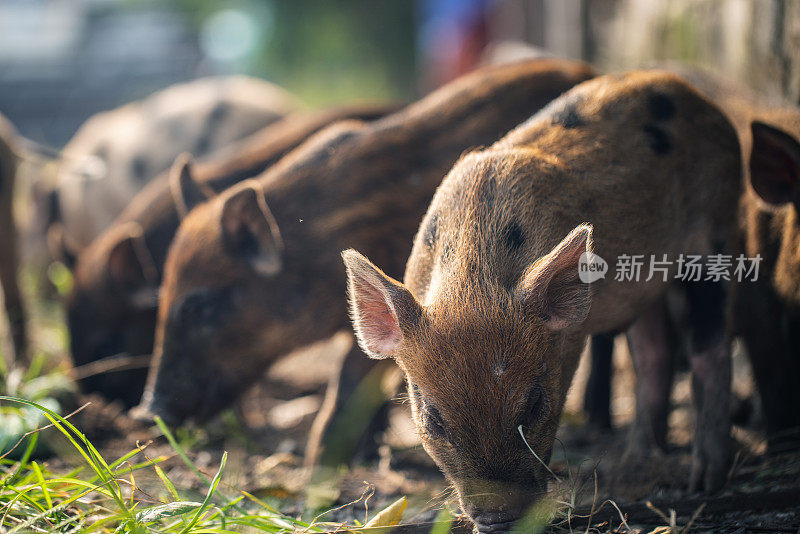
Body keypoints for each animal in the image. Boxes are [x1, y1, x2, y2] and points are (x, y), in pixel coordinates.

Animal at [344, 70, 744, 532]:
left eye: (535, 404)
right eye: (432, 419)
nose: (498, 518)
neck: (473, 284)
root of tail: (701, 99)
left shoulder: (572, 338)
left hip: (715, 233)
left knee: (709, 348)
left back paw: (704, 482)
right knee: (653, 354)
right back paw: (637, 463)